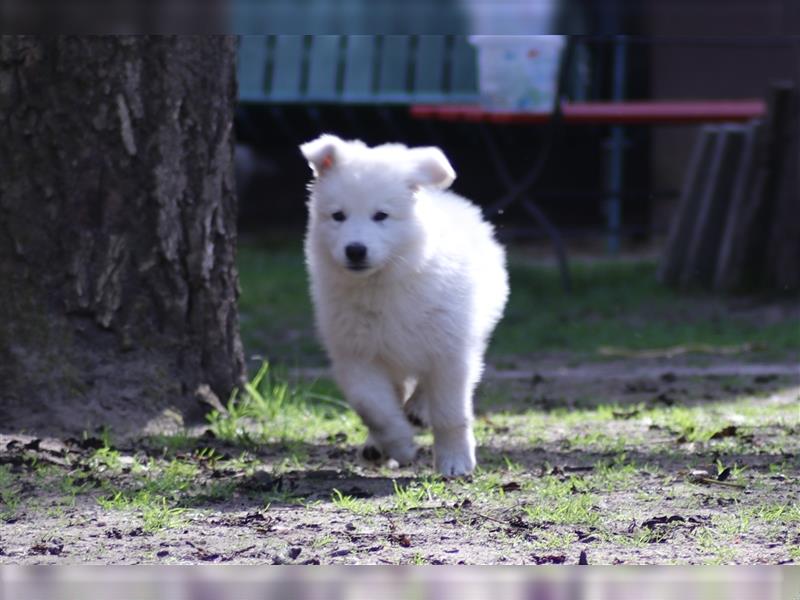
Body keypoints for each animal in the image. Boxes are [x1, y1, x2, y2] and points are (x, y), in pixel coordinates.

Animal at [300, 136, 506, 478]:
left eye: (381, 215)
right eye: (338, 216)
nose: (355, 250)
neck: (384, 282)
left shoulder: (450, 350)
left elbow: (451, 412)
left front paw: (455, 461)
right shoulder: (357, 354)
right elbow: (374, 408)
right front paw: (400, 445)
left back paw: (418, 411)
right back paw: (376, 446)